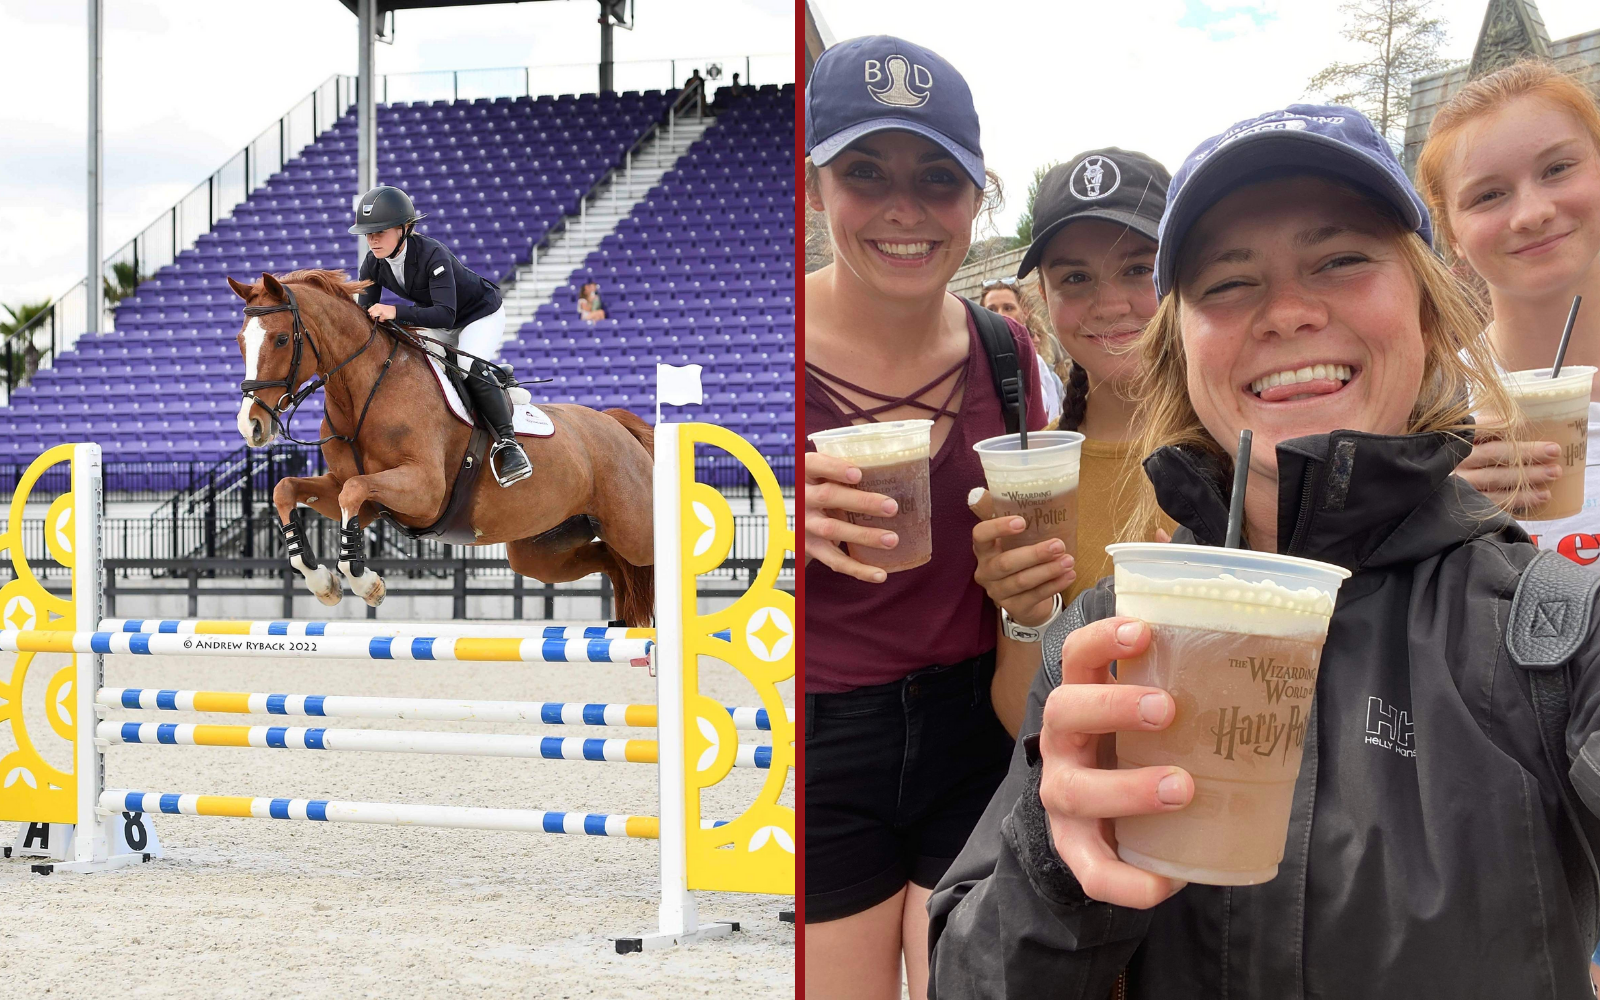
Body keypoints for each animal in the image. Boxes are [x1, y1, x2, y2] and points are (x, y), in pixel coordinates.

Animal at [225, 267, 656, 624]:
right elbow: (288, 490)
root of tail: (616, 424)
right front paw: (322, 582)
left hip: (635, 530)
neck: (365, 391)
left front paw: (366, 583)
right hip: (541, 549)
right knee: (610, 562)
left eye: (282, 339)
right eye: (241, 342)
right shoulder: (360, 499)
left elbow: (354, 491)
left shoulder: (425, 491)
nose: (251, 426)